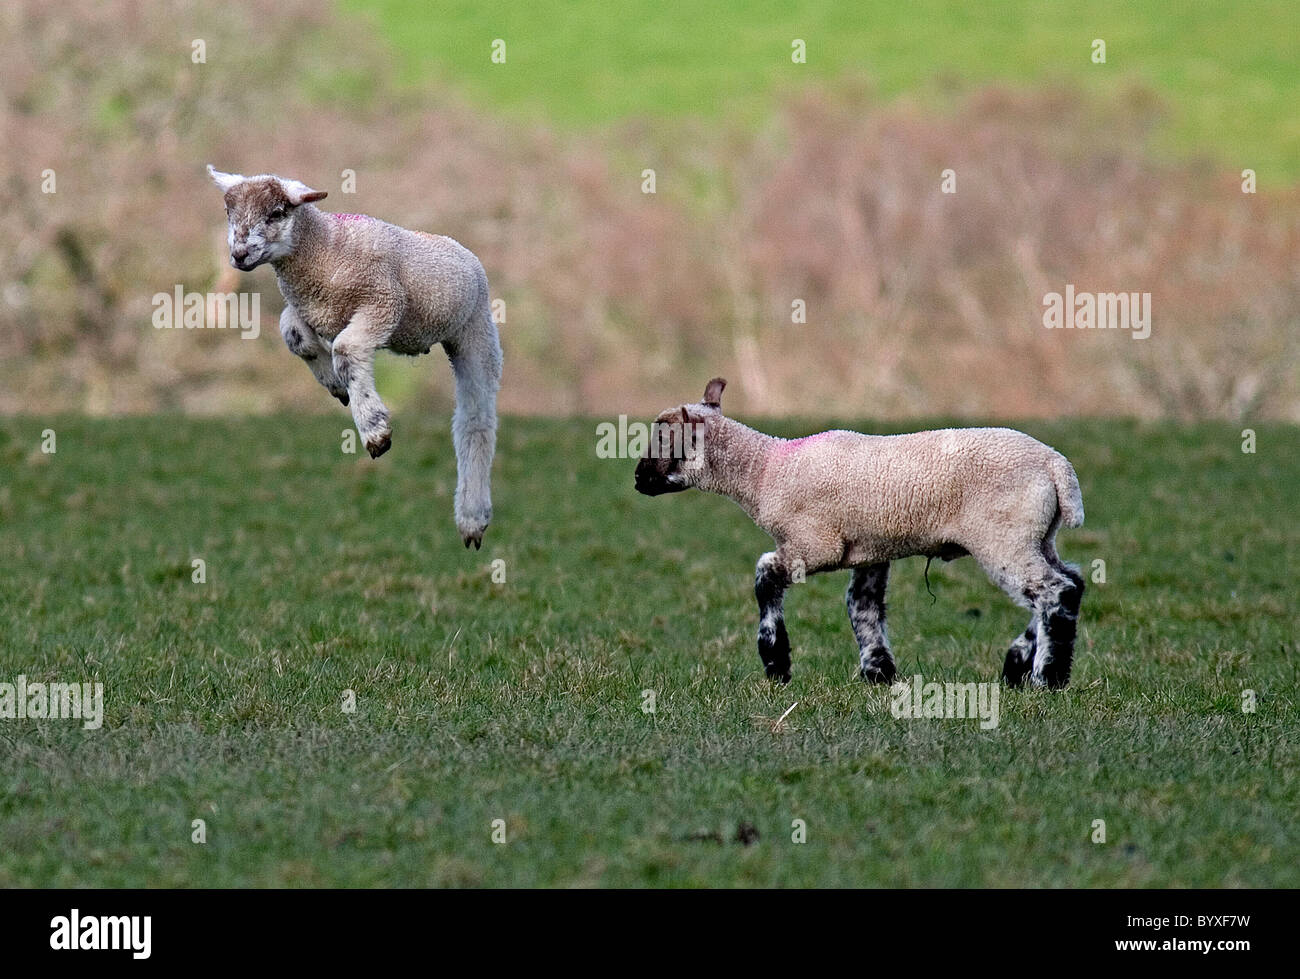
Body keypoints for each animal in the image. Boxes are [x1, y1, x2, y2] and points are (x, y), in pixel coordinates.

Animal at [206, 167, 501, 551]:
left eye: (277, 213)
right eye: (229, 212)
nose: (239, 254)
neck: (324, 249)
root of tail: (461, 247)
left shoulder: (384, 302)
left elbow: (345, 350)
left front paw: (374, 429)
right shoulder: (313, 310)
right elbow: (292, 333)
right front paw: (335, 386)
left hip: (475, 330)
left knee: (475, 421)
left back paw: (472, 516)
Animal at [631, 374, 1086, 686]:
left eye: (665, 440)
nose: (637, 479)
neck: (765, 472)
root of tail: (1056, 466)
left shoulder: (815, 545)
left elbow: (765, 577)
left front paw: (777, 662)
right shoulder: (870, 550)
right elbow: (861, 606)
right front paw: (879, 671)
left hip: (1003, 536)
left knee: (1054, 592)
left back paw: (1047, 677)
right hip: (1038, 536)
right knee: (1072, 582)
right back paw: (1018, 664)